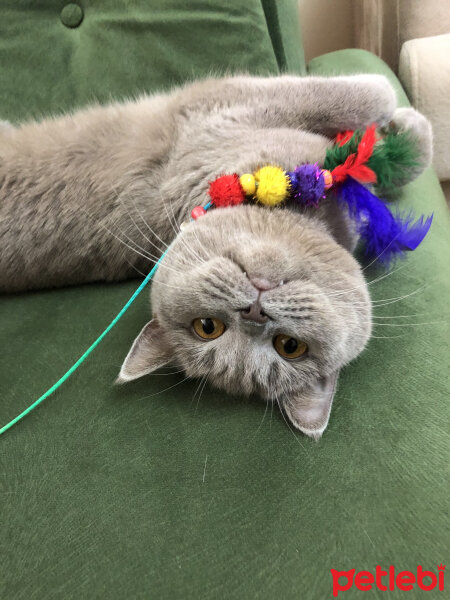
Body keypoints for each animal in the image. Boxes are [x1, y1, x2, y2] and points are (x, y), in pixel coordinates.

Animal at [0, 75, 432, 436]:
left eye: (289, 347)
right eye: (207, 327)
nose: (254, 311)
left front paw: (397, 137)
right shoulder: (218, 108)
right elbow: (359, 96)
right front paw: (394, 105)